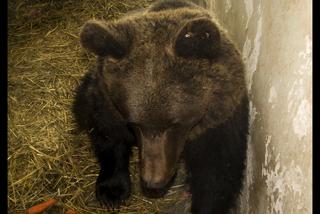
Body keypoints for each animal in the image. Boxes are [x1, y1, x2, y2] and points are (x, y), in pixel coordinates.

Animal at [74, 0, 249, 213]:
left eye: (175, 123)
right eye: (135, 123)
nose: (153, 181)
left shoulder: (219, 120)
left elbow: (216, 172)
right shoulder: (106, 101)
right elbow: (107, 134)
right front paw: (112, 190)